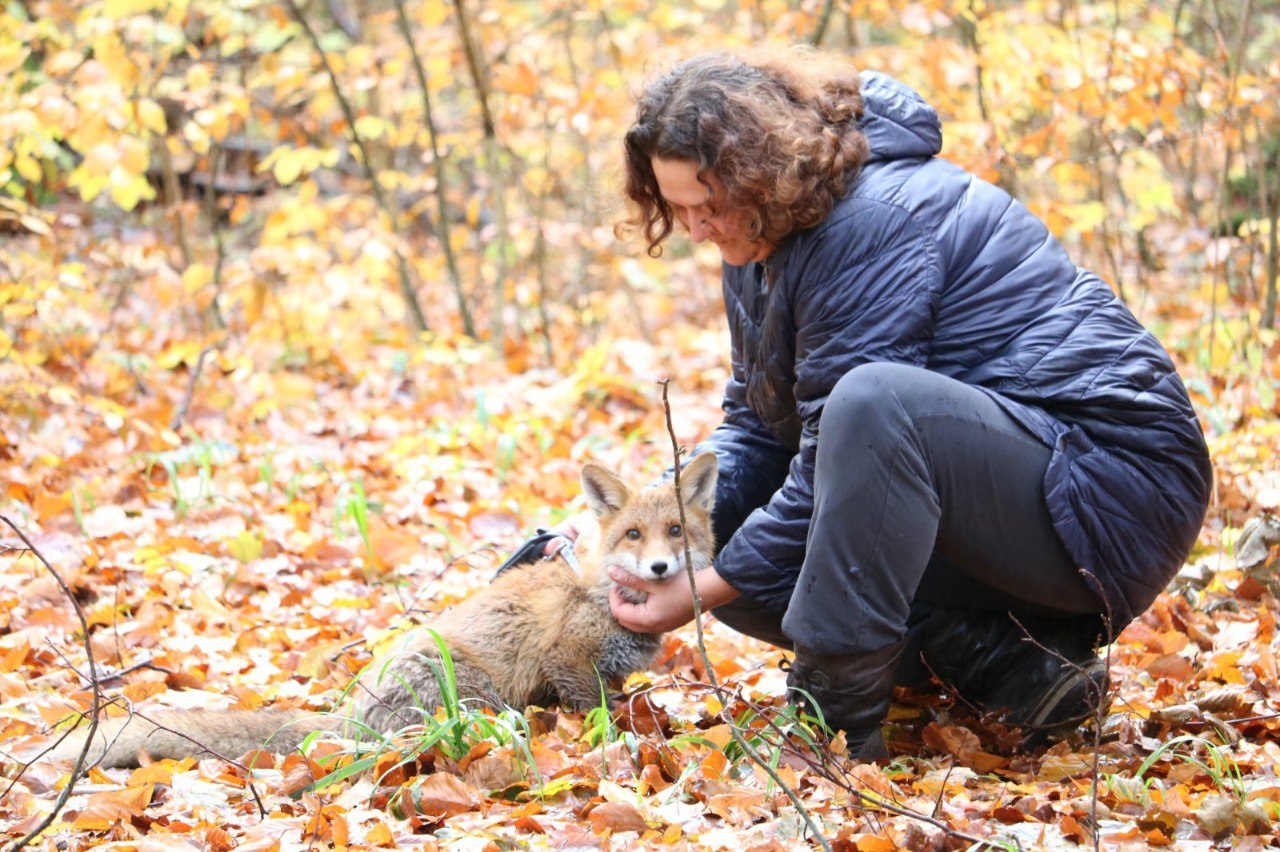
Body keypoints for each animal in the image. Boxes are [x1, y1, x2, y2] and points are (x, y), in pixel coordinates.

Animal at [47, 455, 721, 767]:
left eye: (675, 531)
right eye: (633, 535)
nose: (661, 570)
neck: (600, 595)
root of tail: (347, 715)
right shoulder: (568, 663)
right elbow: (598, 713)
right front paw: (615, 743)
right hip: (466, 689)